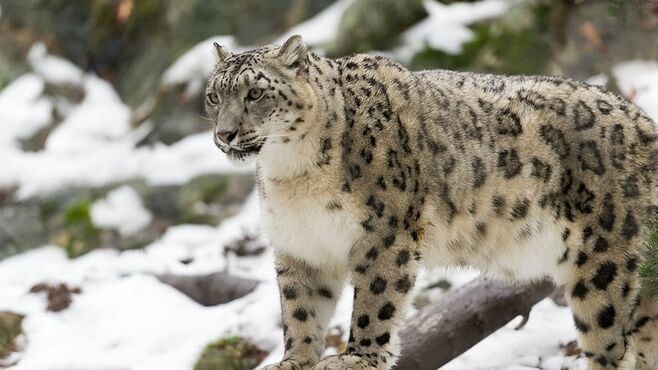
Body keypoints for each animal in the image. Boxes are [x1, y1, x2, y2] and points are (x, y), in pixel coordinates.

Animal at [205, 35, 656, 370]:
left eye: (255, 93)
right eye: (214, 96)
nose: (225, 134)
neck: (292, 175)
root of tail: (644, 121)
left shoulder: (383, 234)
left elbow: (375, 299)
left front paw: (358, 357)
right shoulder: (299, 245)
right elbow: (300, 308)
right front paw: (294, 360)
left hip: (602, 266)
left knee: (610, 342)